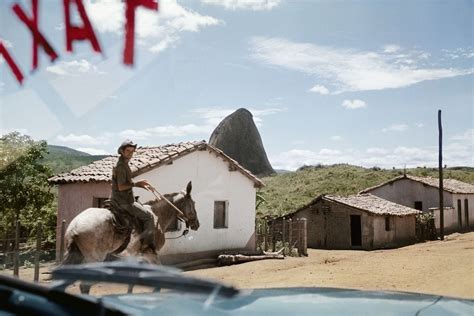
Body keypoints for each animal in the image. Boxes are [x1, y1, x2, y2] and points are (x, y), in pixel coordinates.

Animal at [61, 181, 198, 292]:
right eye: (194, 203)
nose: (197, 224)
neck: (157, 216)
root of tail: (74, 226)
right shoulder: (150, 253)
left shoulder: (135, 256)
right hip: (94, 259)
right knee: (84, 285)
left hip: (78, 255)